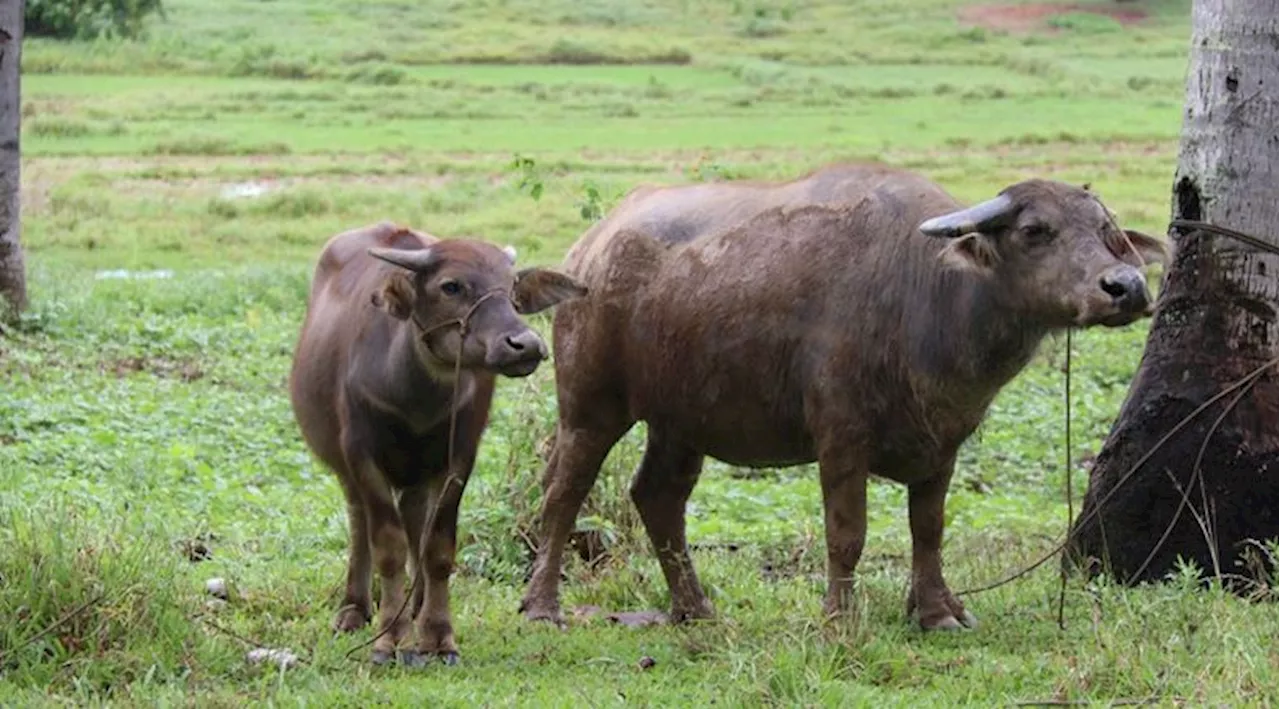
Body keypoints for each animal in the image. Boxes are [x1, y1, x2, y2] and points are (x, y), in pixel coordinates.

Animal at [290, 222, 586, 660]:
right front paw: (389, 639)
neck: (414, 394)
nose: (525, 344)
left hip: (417, 471)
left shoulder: (459, 458)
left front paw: (437, 635)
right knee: (359, 522)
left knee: (416, 520)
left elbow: (438, 548)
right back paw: (354, 609)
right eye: (451, 286)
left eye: (511, 288)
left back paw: (415, 607)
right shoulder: (361, 456)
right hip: (347, 467)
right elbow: (388, 547)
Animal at [514, 162, 1167, 627]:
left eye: (1107, 232)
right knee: (562, 494)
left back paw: (693, 608)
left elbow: (929, 529)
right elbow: (847, 532)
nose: (1126, 287)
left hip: (680, 421)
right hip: (591, 404)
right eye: (1035, 231)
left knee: (657, 497)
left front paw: (937, 613)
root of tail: (592, 248)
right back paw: (543, 606)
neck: (932, 297)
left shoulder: (945, 442)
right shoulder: (841, 436)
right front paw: (841, 619)